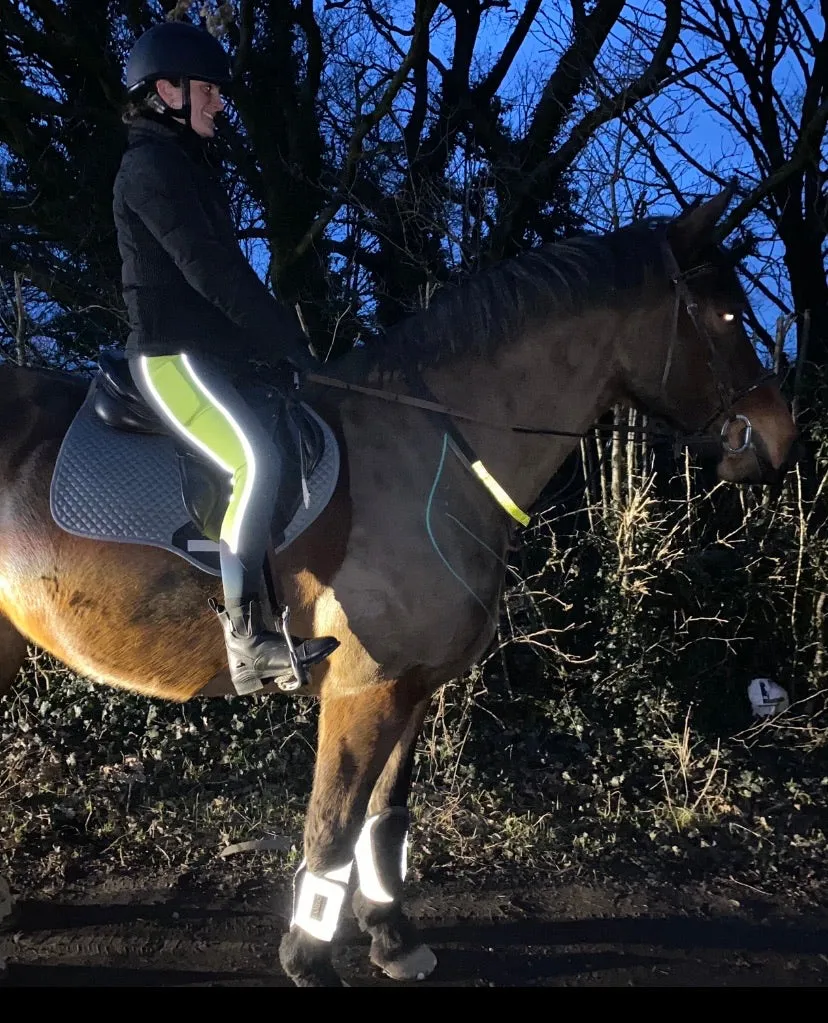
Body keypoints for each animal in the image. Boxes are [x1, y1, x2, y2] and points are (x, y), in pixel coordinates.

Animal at [0, 189, 798, 986]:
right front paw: (310, 963)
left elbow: (385, 818)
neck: (433, 451)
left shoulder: (411, 687)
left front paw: (390, 936)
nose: (781, 439)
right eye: (728, 316)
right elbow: (331, 827)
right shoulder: (364, 689)